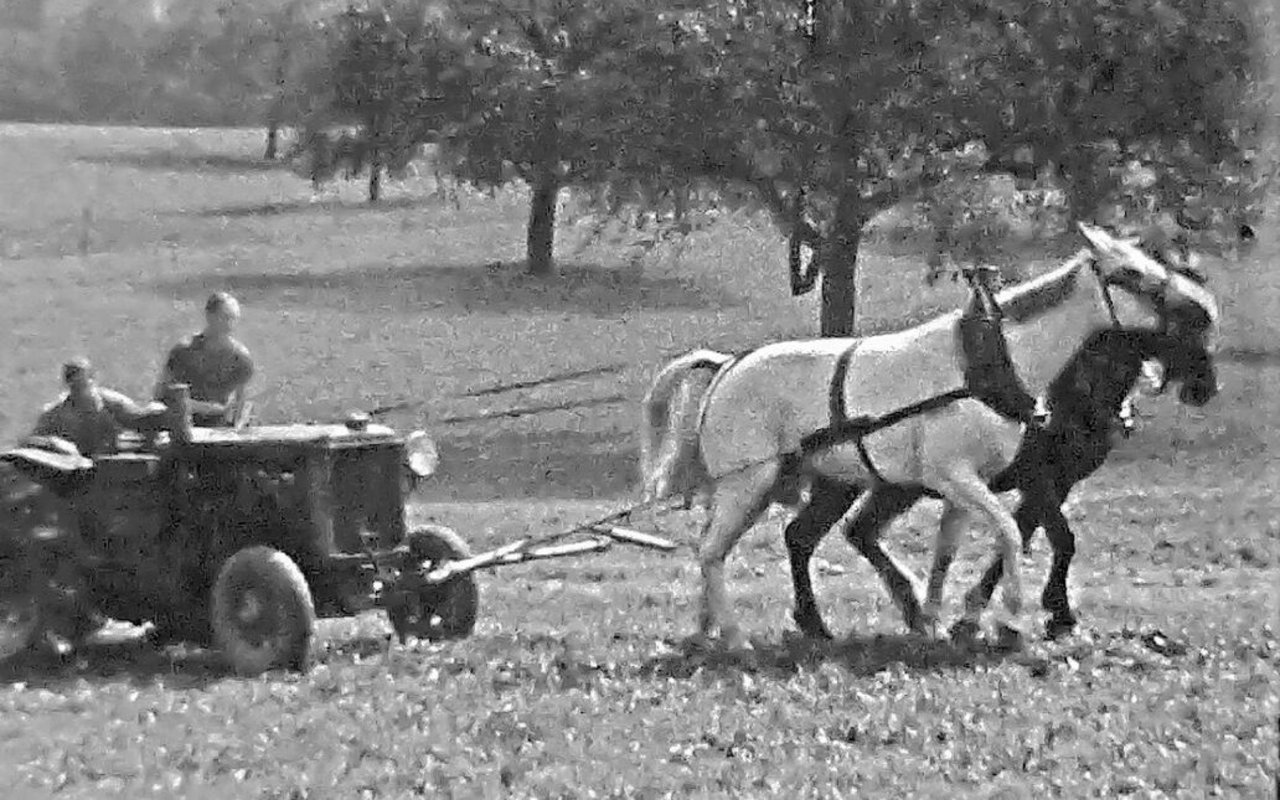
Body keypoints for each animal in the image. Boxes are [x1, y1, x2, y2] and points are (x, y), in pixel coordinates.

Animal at [778, 321, 1218, 640]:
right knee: (819, 534)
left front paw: (982, 612)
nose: (1206, 386)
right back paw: (829, 619)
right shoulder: (1038, 479)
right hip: (863, 483)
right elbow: (1058, 538)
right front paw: (1053, 612)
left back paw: (892, 614)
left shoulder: (1057, 482)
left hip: (873, 484)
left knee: (833, 533)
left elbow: (1022, 535)